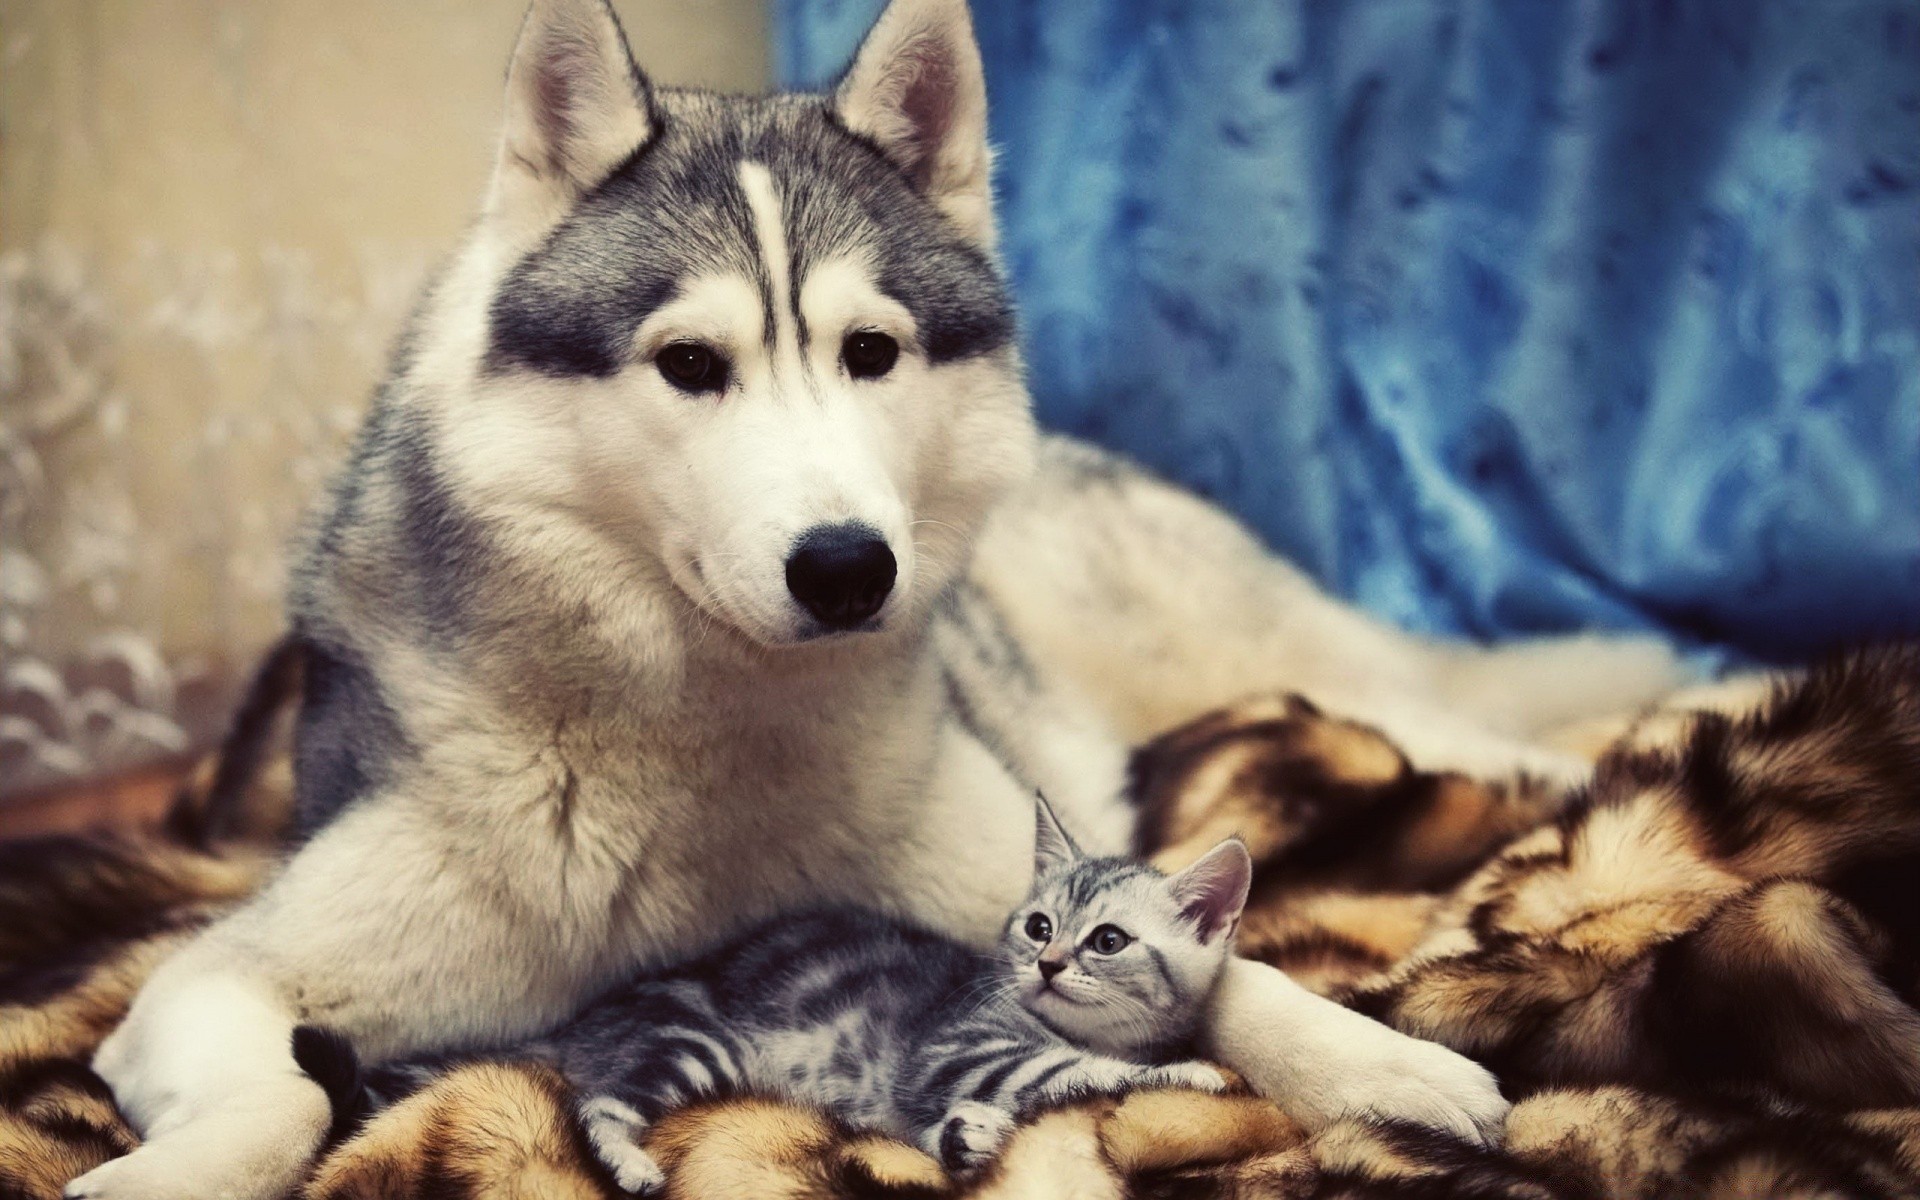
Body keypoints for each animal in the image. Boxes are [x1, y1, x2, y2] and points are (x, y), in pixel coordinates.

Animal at [326, 798, 1259, 1190]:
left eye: (1107, 940)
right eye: (1038, 926)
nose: (1050, 965)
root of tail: (590, 1017)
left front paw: (970, 1139)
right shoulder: (960, 1048)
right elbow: (1071, 1070)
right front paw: (1192, 1073)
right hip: (693, 1039)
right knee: (597, 1103)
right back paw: (629, 1162)